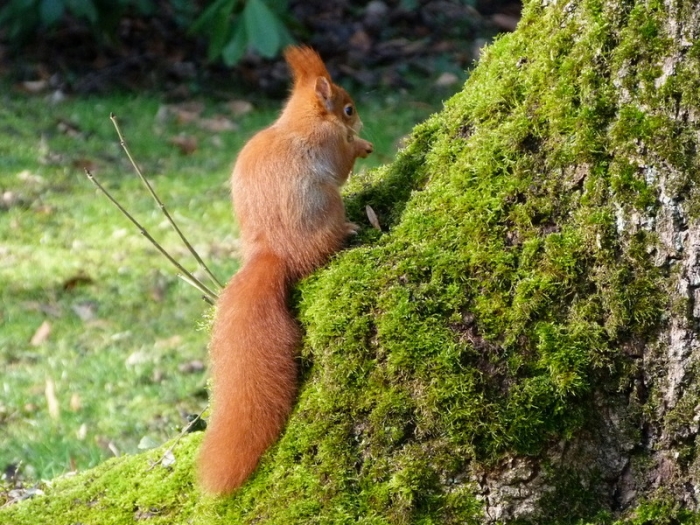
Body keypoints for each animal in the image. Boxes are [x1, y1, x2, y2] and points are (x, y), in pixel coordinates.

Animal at [198, 46, 373, 495]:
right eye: (348, 108)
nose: (360, 122)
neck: (304, 120)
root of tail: (275, 253)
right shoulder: (328, 145)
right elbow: (342, 162)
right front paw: (361, 145)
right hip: (324, 207)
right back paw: (349, 230)